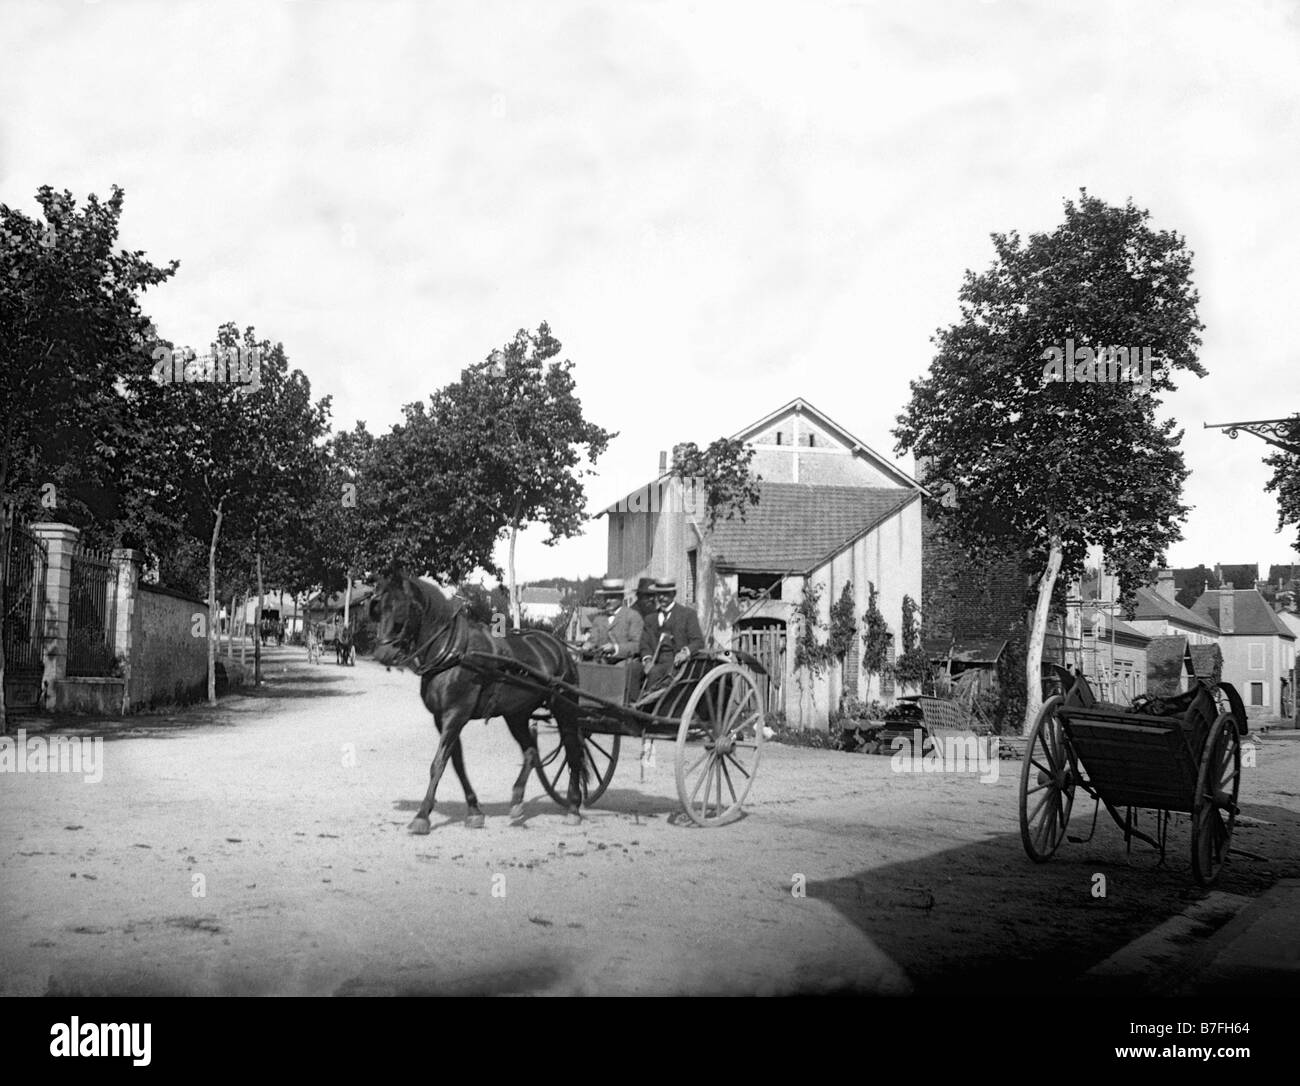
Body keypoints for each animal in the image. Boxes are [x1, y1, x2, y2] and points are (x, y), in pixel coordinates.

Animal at [369, 569, 587, 832]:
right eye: (379, 608)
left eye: (401, 609)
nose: (383, 654)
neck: (454, 652)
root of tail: (560, 648)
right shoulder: (442, 718)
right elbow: (457, 763)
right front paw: (474, 810)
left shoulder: (456, 714)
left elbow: (438, 763)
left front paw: (422, 815)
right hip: (516, 714)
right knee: (531, 752)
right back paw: (517, 799)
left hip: (564, 707)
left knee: (573, 751)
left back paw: (573, 806)